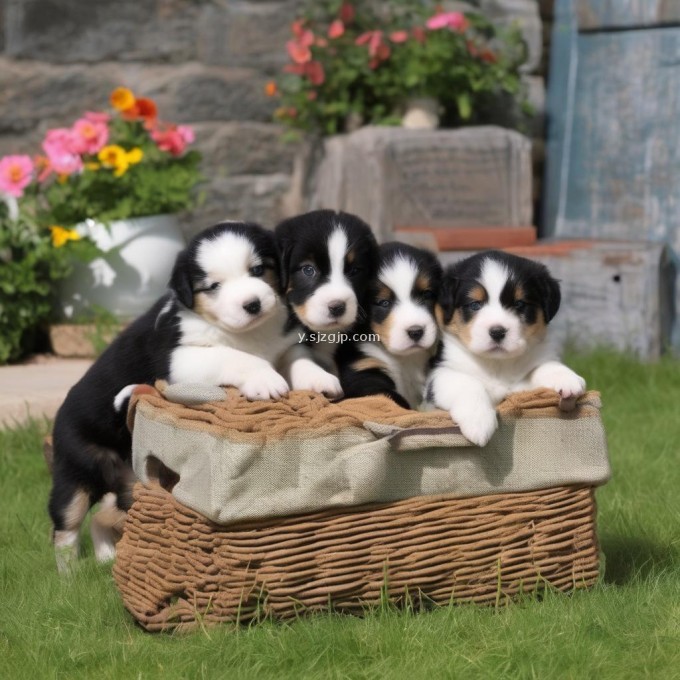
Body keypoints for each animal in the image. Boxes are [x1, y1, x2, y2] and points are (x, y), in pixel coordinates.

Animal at [47, 220, 292, 572]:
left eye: (258, 270)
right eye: (213, 286)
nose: (253, 304)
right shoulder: (180, 359)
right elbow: (233, 356)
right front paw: (267, 380)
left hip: (132, 485)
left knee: (103, 516)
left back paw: (107, 557)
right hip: (77, 470)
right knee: (65, 526)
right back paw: (70, 575)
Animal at [428, 250, 588, 446]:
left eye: (519, 304)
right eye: (475, 304)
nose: (497, 332)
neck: (498, 365)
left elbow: (544, 366)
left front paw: (566, 378)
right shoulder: (438, 374)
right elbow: (467, 382)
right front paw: (478, 421)